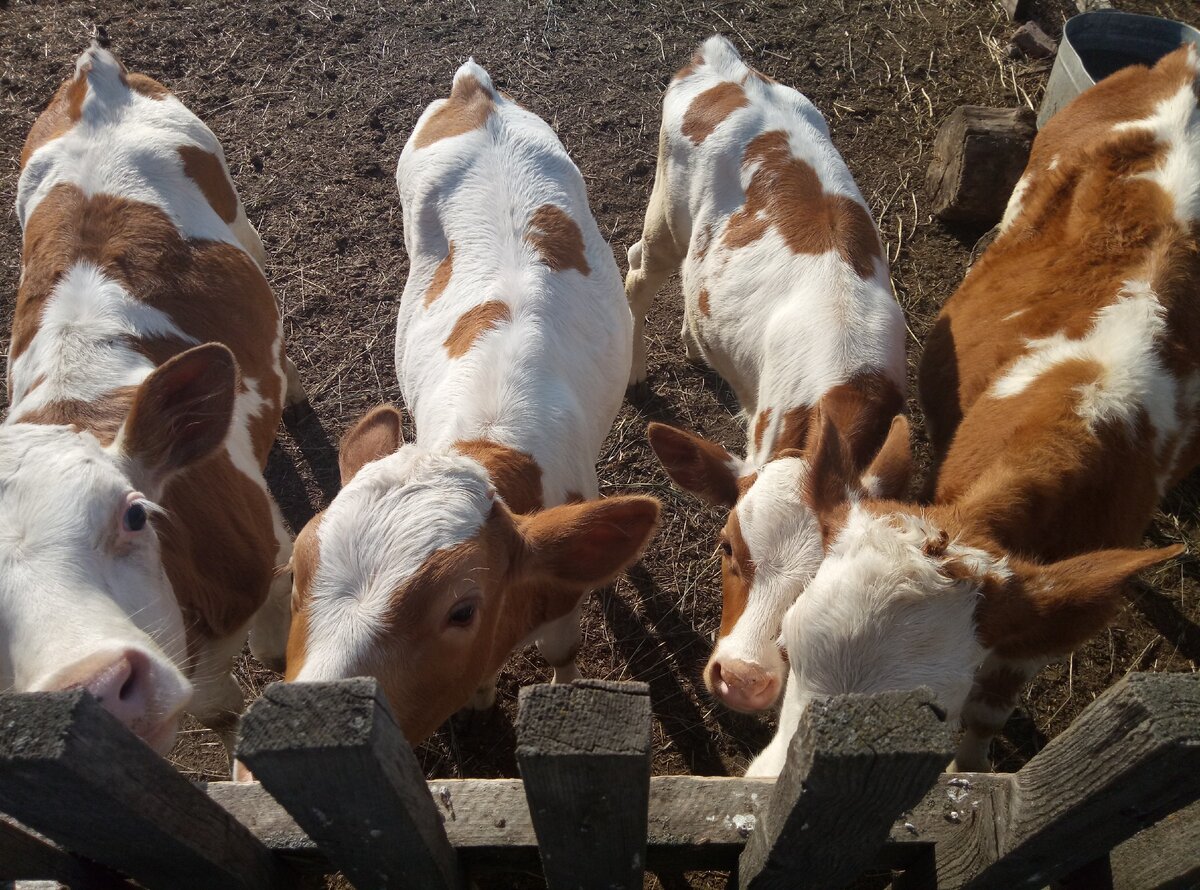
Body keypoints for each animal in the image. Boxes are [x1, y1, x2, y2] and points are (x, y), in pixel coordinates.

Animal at [2, 47, 302, 758]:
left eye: (135, 514)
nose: (96, 686)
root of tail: (94, 77)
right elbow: (216, 705)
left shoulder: (265, 553)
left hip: (231, 203)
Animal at [628, 33, 907, 719]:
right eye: (728, 546)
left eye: (820, 586)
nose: (743, 680)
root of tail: (724, 62)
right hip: (667, 210)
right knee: (639, 270)